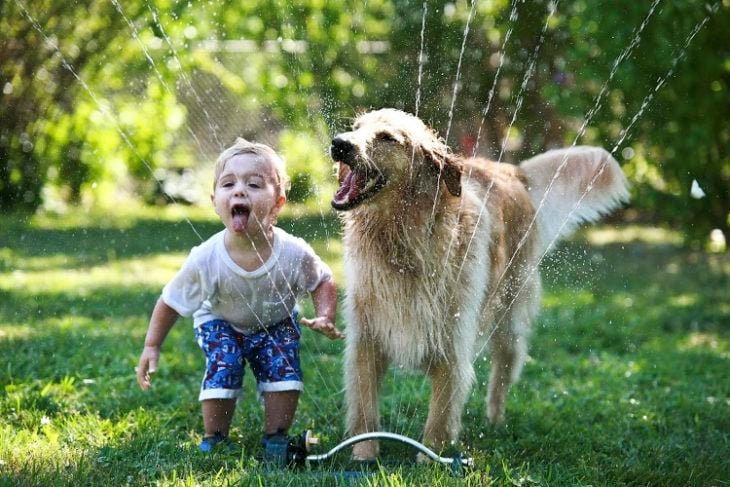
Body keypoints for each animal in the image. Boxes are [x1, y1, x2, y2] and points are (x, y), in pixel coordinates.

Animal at [330, 107, 624, 462]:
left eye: (387, 137)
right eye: (356, 127)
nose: (339, 143)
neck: (403, 243)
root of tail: (511, 170)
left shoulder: (452, 343)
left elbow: (440, 415)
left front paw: (430, 460)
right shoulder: (366, 339)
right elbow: (365, 408)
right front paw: (363, 456)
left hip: (510, 316)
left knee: (504, 373)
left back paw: (495, 420)